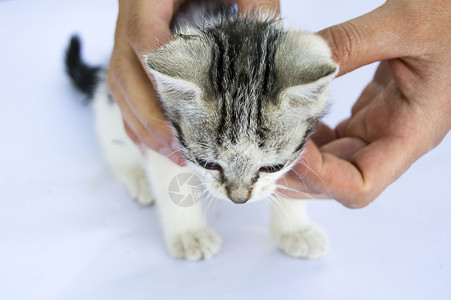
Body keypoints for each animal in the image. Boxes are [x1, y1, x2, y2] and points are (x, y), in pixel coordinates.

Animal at [65, 2, 338, 260]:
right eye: (208, 164)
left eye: (271, 167)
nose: (238, 199)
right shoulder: (159, 131)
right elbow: (168, 174)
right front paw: (190, 235)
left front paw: (296, 229)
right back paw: (138, 177)